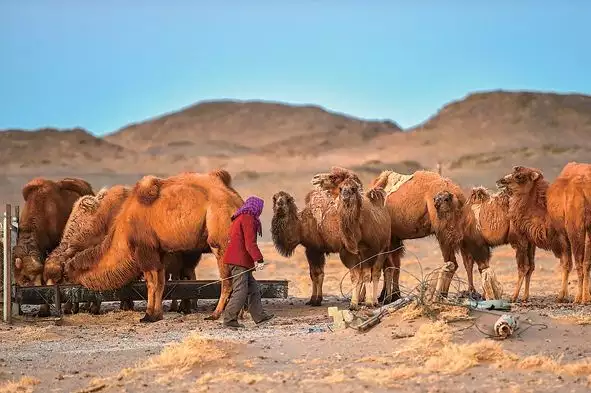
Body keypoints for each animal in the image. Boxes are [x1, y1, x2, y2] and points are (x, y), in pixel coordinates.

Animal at [66, 169, 246, 322]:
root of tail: (236, 200)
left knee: (228, 279)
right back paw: (239, 313)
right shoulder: (159, 252)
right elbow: (160, 282)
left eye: (68, 272)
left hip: (220, 238)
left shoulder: (145, 250)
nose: (68, 288)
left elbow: (152, 283)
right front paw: (157, 314)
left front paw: (148, 315)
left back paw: (216, 314)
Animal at [272, 173, 394, 308]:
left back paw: (374, 301)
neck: (300, 226)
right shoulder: (315, 249)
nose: (279, 204)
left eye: (287, 199)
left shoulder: (314, 249)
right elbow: (316, 274)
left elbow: (317, 274)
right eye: (274, 198)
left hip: (383, 248)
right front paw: (315, 299)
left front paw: (315, 300)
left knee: (376, 271)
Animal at [498, 163, 591, 304]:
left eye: (519, 176)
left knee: (580, 263)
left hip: (576, 229)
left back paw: (579, 298)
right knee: (586, 262)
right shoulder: (534, 240)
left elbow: (566, 264)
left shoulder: (561, 237)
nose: (500, 181)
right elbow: (532, 267)